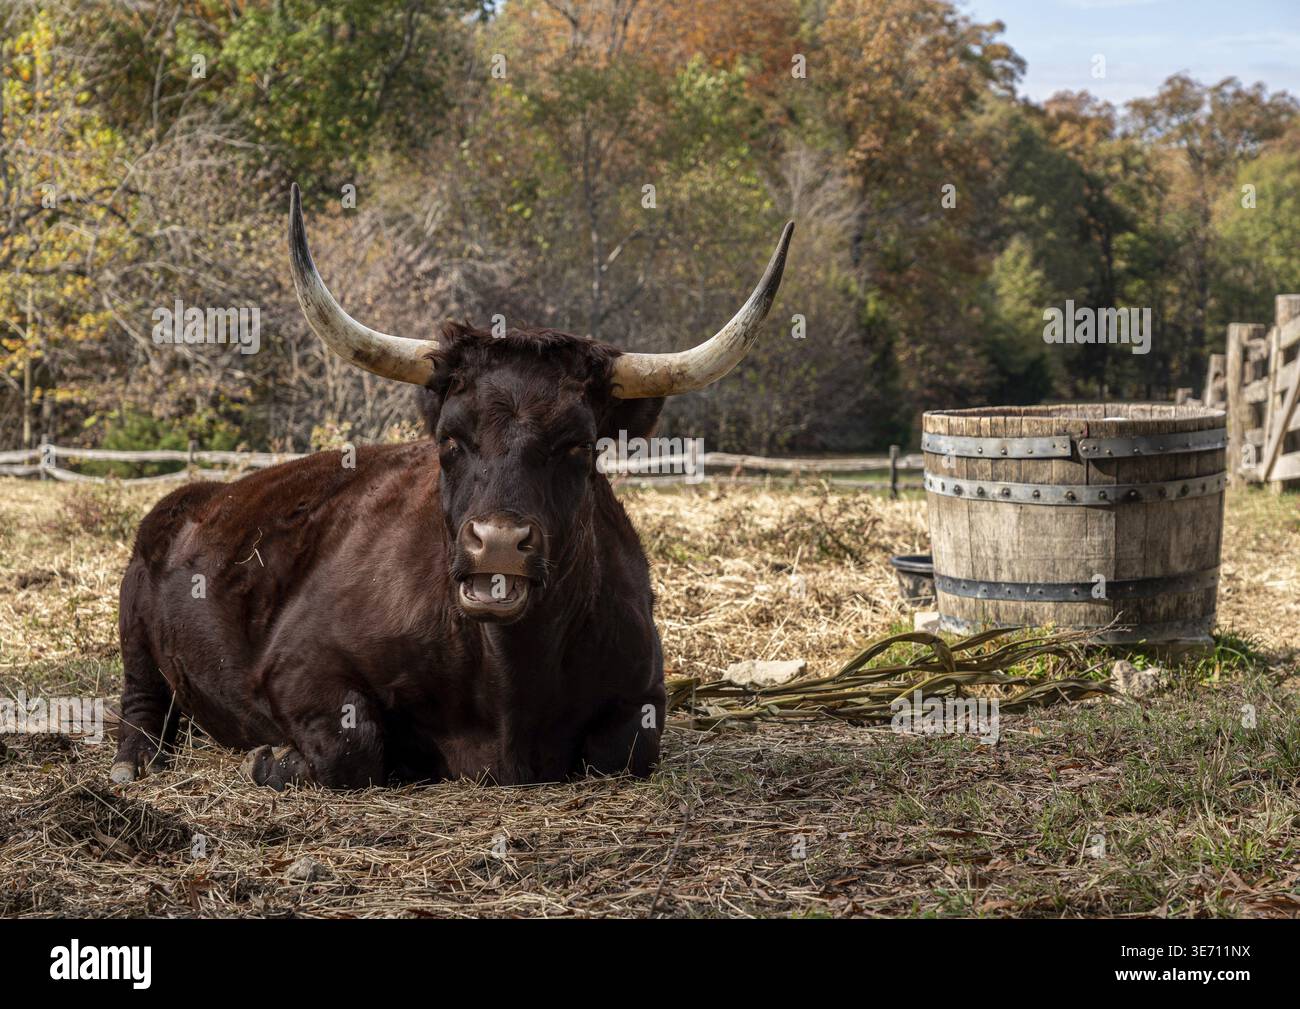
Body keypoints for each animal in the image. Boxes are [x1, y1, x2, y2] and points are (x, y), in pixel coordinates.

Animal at [110, 183, 793, 789]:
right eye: (450, 439)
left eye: (579, 445)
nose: (498, 542)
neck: (507, 680)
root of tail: (198, 495)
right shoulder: (298, 665)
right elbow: (352, 746)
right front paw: (273, 760)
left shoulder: (643, 691)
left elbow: (624, 749)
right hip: (135, 624)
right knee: (142, 702)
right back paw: (133, 762)